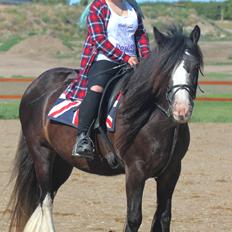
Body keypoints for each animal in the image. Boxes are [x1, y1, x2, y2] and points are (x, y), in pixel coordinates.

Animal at [7, 26, 203, 231]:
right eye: (165, 68)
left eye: (195, 67)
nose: (181, 110)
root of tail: (35, 85)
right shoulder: (135, 172)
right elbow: (134, 218)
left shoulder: (171, 172)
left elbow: (164, 217)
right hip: (42, 154)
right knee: (45, 201)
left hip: (62, 161)